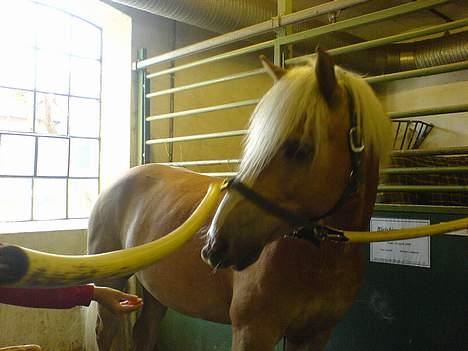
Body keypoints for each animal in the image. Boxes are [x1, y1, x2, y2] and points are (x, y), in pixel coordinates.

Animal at [88, 47, 392, 351]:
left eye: (299, 149)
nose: (214, 244)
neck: (320, 259)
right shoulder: (253, 332)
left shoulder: (314, 334)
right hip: (112, 283)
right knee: (106, 330)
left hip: (156, 292)